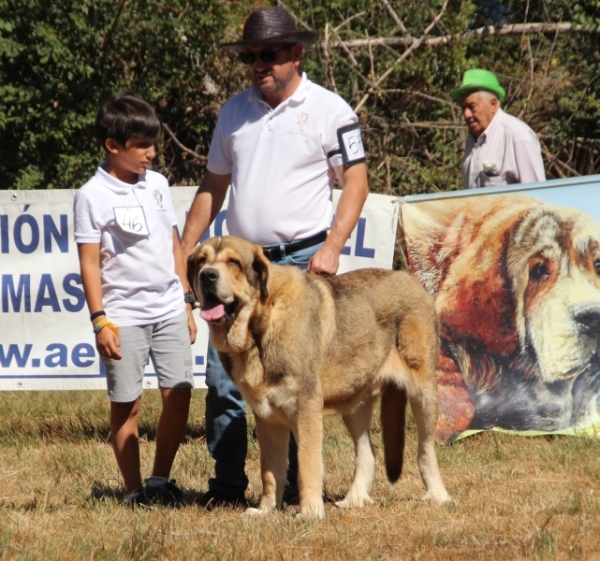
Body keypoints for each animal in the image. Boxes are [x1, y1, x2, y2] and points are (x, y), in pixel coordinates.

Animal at [188, 235, 450, 516]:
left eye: (233, 262)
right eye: (201, 261)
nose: (207, 275)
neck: (261, 323)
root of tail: (412, 281)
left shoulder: (307, 408)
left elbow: (306, 465)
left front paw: (310, 512)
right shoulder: (267, 416)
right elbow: (270, 472)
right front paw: (266, 511)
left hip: (424, 394)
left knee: (426, 449)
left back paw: (439, 496)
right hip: (354, 403)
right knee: (367, 453)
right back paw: (354, 499)